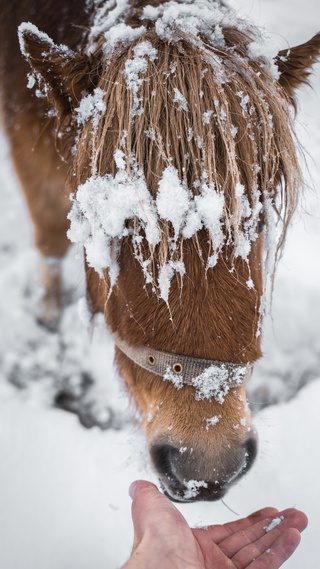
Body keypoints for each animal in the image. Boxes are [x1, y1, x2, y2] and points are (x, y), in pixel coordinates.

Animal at [0, 1, 320, 502]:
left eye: (258, 216)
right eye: (121, 222)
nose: (208, 464)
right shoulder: (23, 134)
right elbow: (49, 234)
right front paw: (48, 320)